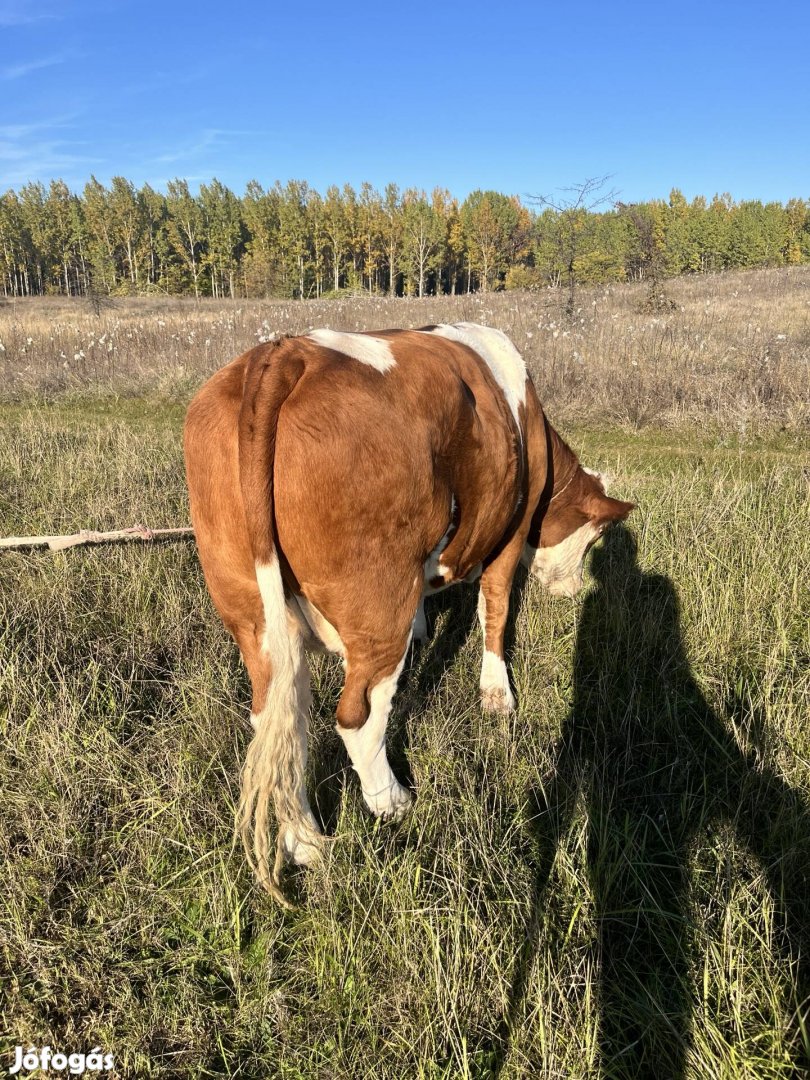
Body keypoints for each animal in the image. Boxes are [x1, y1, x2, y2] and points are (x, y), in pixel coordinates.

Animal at [183, 319, 635, 902]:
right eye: (596, 537)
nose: (576, 589)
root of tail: (283, 354)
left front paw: (427, 632)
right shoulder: (509, 532)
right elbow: (496, 607)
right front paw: (497, 695)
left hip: (254, 615)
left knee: (280, 720)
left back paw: (304, 841)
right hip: (378, 603)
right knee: (355, 716)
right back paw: (392, 802)